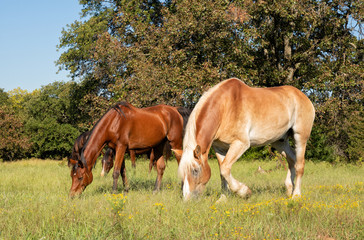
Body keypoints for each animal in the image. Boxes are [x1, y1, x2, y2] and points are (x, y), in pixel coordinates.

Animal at [178, 78, 314, 201]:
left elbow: (225, 169)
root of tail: (303, 96)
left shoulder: (240, 144)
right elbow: (222, 172)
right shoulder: (220, 148)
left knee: (300, 164)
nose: (187, 199)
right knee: (292, 159)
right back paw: (289, 189)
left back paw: (296, 195)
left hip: (300, 137)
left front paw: (244, 192)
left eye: (195, 170)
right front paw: (223, 199)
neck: (225, 107)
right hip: (280, 141)